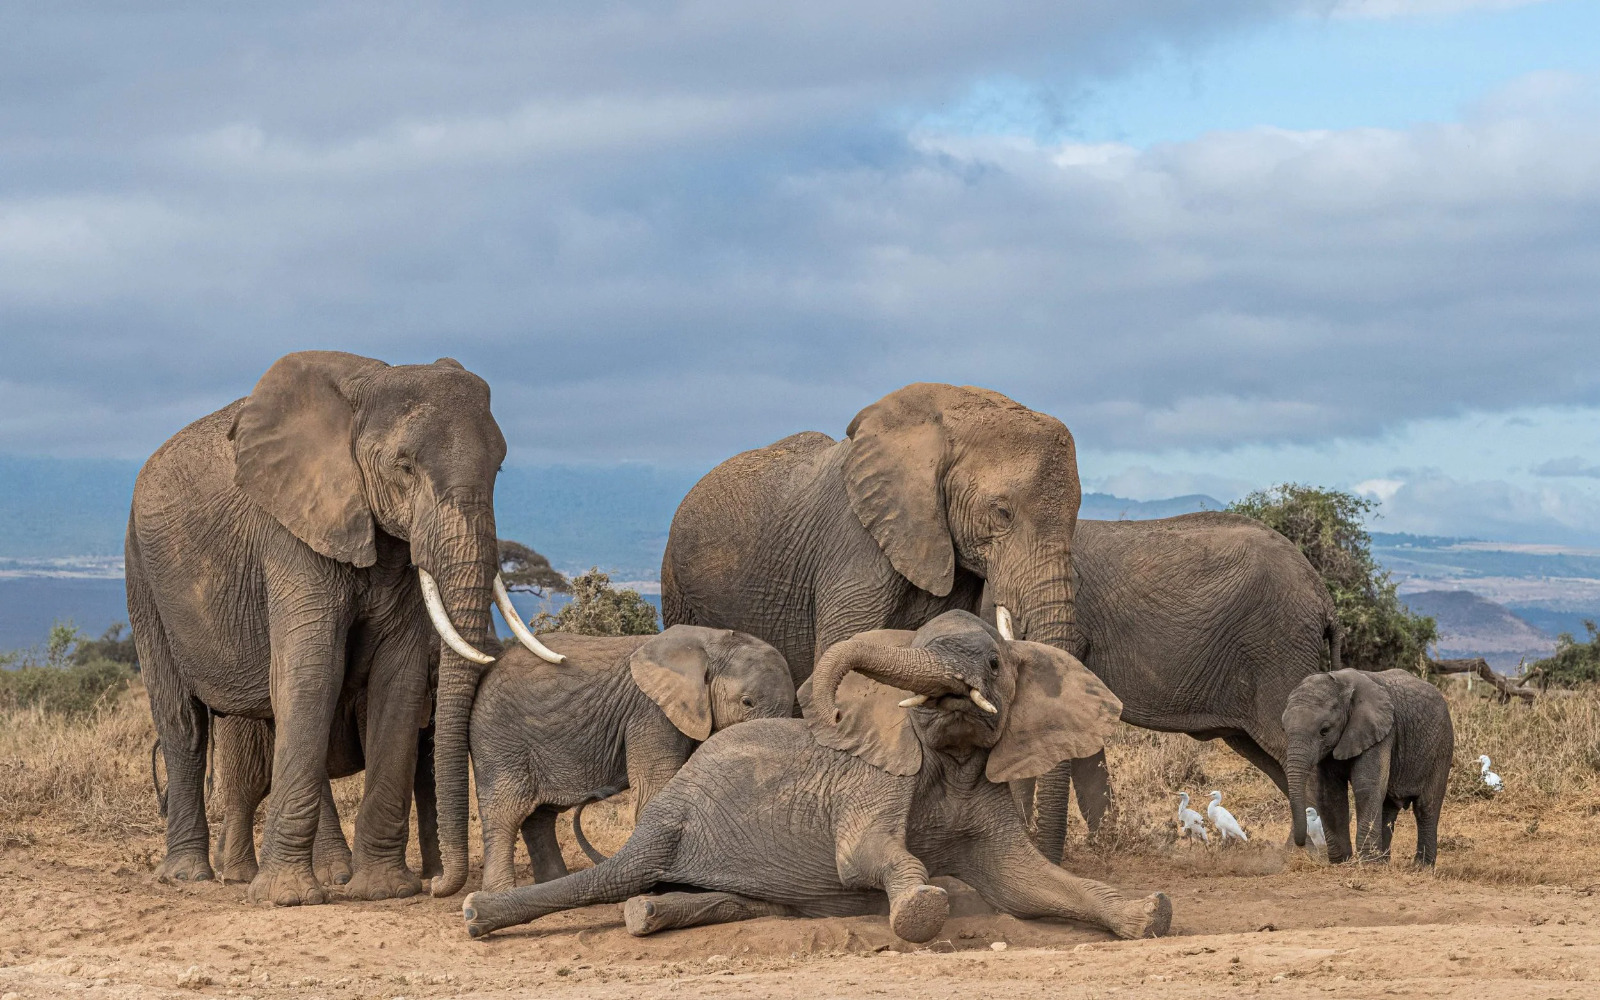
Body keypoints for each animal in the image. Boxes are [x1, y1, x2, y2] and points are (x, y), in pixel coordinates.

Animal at [126, 351, 561, 905]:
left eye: (499, 466)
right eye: (404, 466)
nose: (442, 888)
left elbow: (398, 678)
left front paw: (381, 890)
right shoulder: (293, 532)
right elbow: (313, 672)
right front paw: (286, 899)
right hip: (142, 570)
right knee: (181, 720)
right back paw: (190, 876)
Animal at [470, 626, 797, 892]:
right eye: (747, 702)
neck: (711, 643)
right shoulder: (651, 713)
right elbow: (657, 789)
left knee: (540, 816)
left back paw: (553, 883)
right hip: (498, 740)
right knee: (505, 812)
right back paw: (499, 893)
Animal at [1282, 668, 1453, 865]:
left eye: (1324, 731)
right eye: (1284, 729)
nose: (1301, 844)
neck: (1342, 686)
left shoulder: (1380, 731)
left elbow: (1366, 786)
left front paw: (1367, 864)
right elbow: (1329, 792)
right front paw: (1341, 862)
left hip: (1442, 745)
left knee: (1426, 807)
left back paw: (1420, 867)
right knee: (1388, 807)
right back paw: (1383, 863)